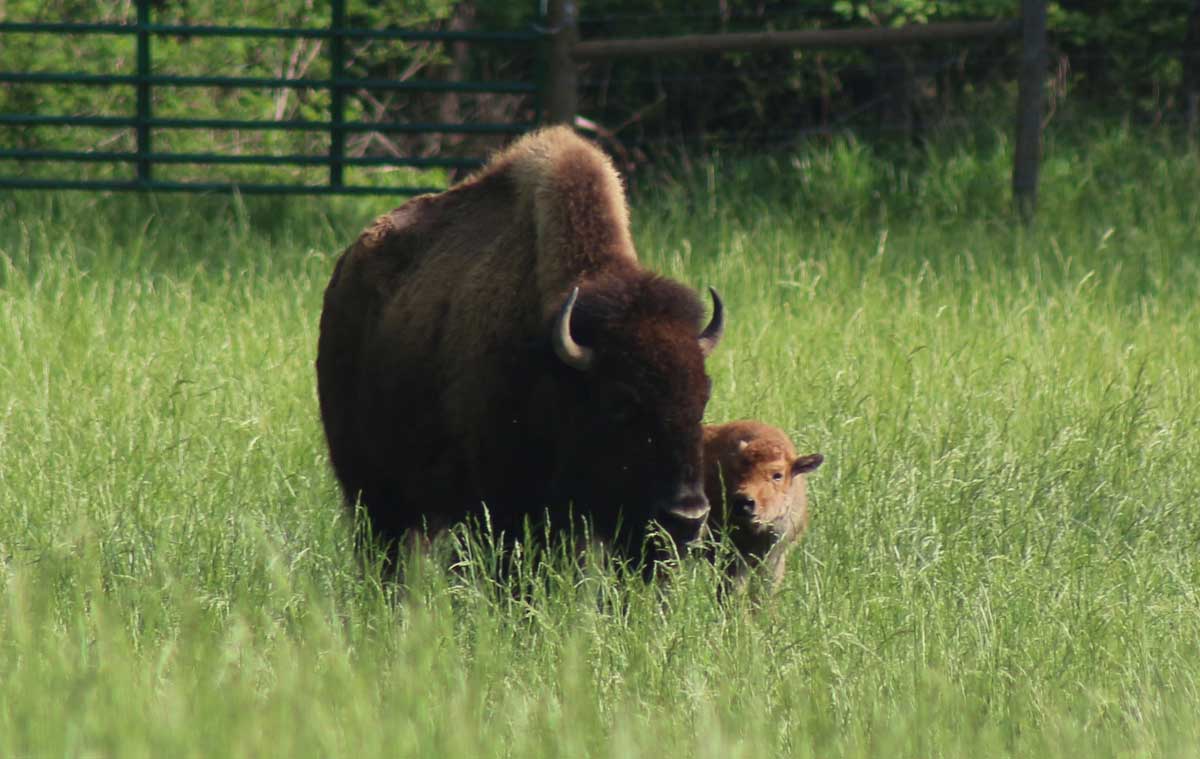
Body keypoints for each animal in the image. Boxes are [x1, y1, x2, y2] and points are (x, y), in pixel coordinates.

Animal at [316, 126, 723, 565]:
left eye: (702, 402)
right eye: (621, 403)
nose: (687, 517)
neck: (554, 363)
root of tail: (347, 266)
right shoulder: (503, 504)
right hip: (368, 488)